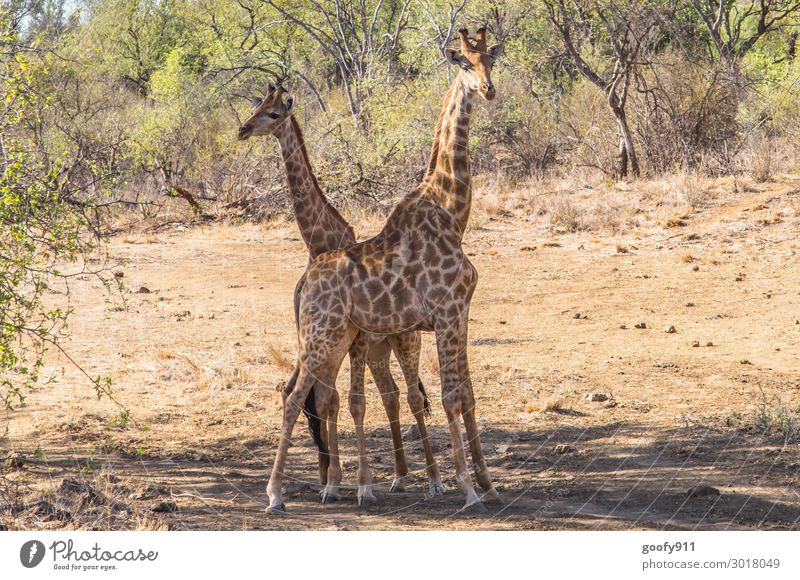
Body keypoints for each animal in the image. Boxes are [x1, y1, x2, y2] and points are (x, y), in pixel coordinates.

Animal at [236, 82, 444, 502]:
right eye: (256, 106)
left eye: (274, 113)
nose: (243, 129)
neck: (321, 242)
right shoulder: (328, 343)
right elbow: (325, 401)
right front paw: (333, 480)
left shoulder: (351, 343)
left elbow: (345, 402)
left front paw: (347, 481)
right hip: (377, 348)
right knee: (390, 394)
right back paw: (397, 475)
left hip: (403, 340)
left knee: (411, 396)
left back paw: (430, 478)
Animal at [268, 28, 506, 512]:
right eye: (465, 64)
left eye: (490, 59)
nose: (488, 89)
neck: (451, 212)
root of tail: (307, 280)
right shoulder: (447, 313)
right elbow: (450, 397)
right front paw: (467, 489)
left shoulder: (461, 313)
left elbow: (467, 395)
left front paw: (488, 485)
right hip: (322, 337)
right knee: (295, 396)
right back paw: (277, 493)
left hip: (336, 339)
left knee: (318, 395)